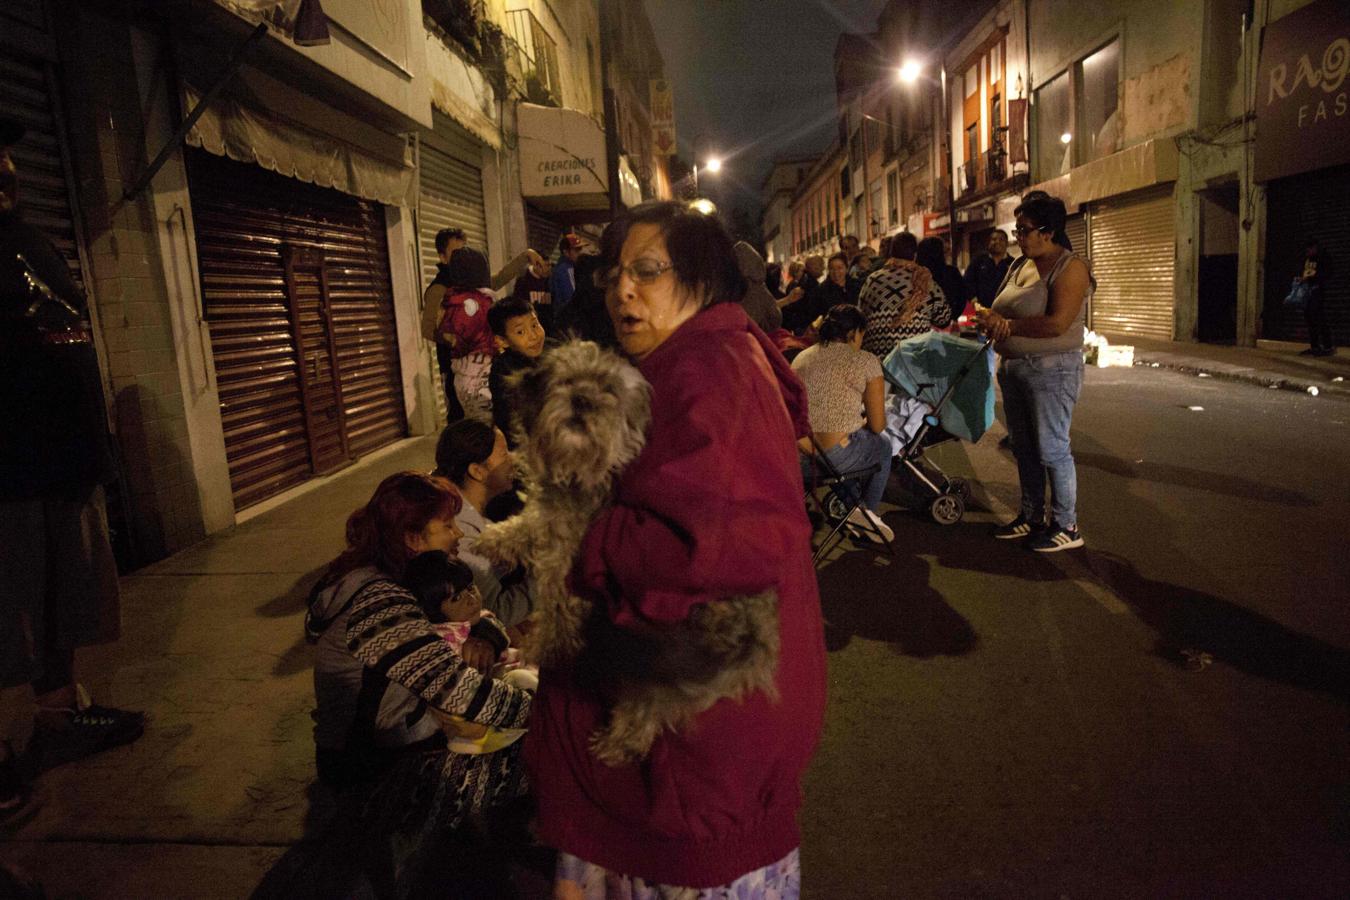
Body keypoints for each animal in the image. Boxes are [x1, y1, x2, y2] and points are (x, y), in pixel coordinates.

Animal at [477, 341, 783, 766]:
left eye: (609, 390)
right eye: (566, 380)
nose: (583, 400)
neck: (579, 470)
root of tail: (755, 641)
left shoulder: (566, 567)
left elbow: (554, 617)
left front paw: (543, 650)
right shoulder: (552, 522)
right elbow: (530, 523)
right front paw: (496, 538)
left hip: (654, 666)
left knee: (644, 714)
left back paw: (615, 745)